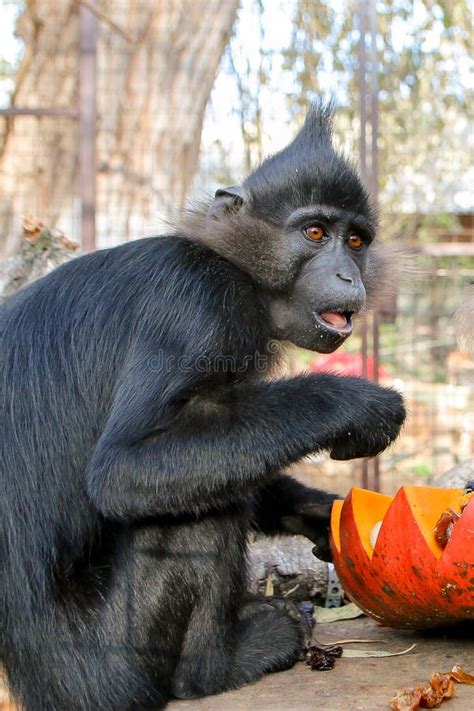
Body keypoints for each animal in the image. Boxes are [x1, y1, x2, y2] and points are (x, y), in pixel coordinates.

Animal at [1, 104, 406, 711]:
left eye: (356, 241)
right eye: (315, 233)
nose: (348, 275)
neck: (231, 264)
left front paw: (321, 513)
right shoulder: (197, 300)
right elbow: (124, 467)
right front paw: (353, 405)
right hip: (104, 669)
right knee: (187, 508)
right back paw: (220, 666)